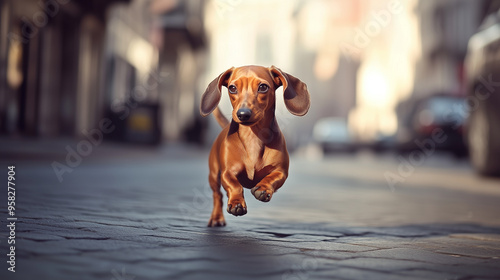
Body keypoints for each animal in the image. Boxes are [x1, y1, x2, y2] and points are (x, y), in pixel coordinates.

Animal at [199, 64, 308, 226]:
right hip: (214, 175)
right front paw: (236, 203)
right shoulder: (227, 173)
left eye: (263, 87)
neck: (253, 137)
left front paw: (263, 188)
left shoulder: (281, 171)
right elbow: (234, 185)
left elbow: (272, 178)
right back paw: (217, 218)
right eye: (232, 88)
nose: (243, 114)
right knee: (217, 195)